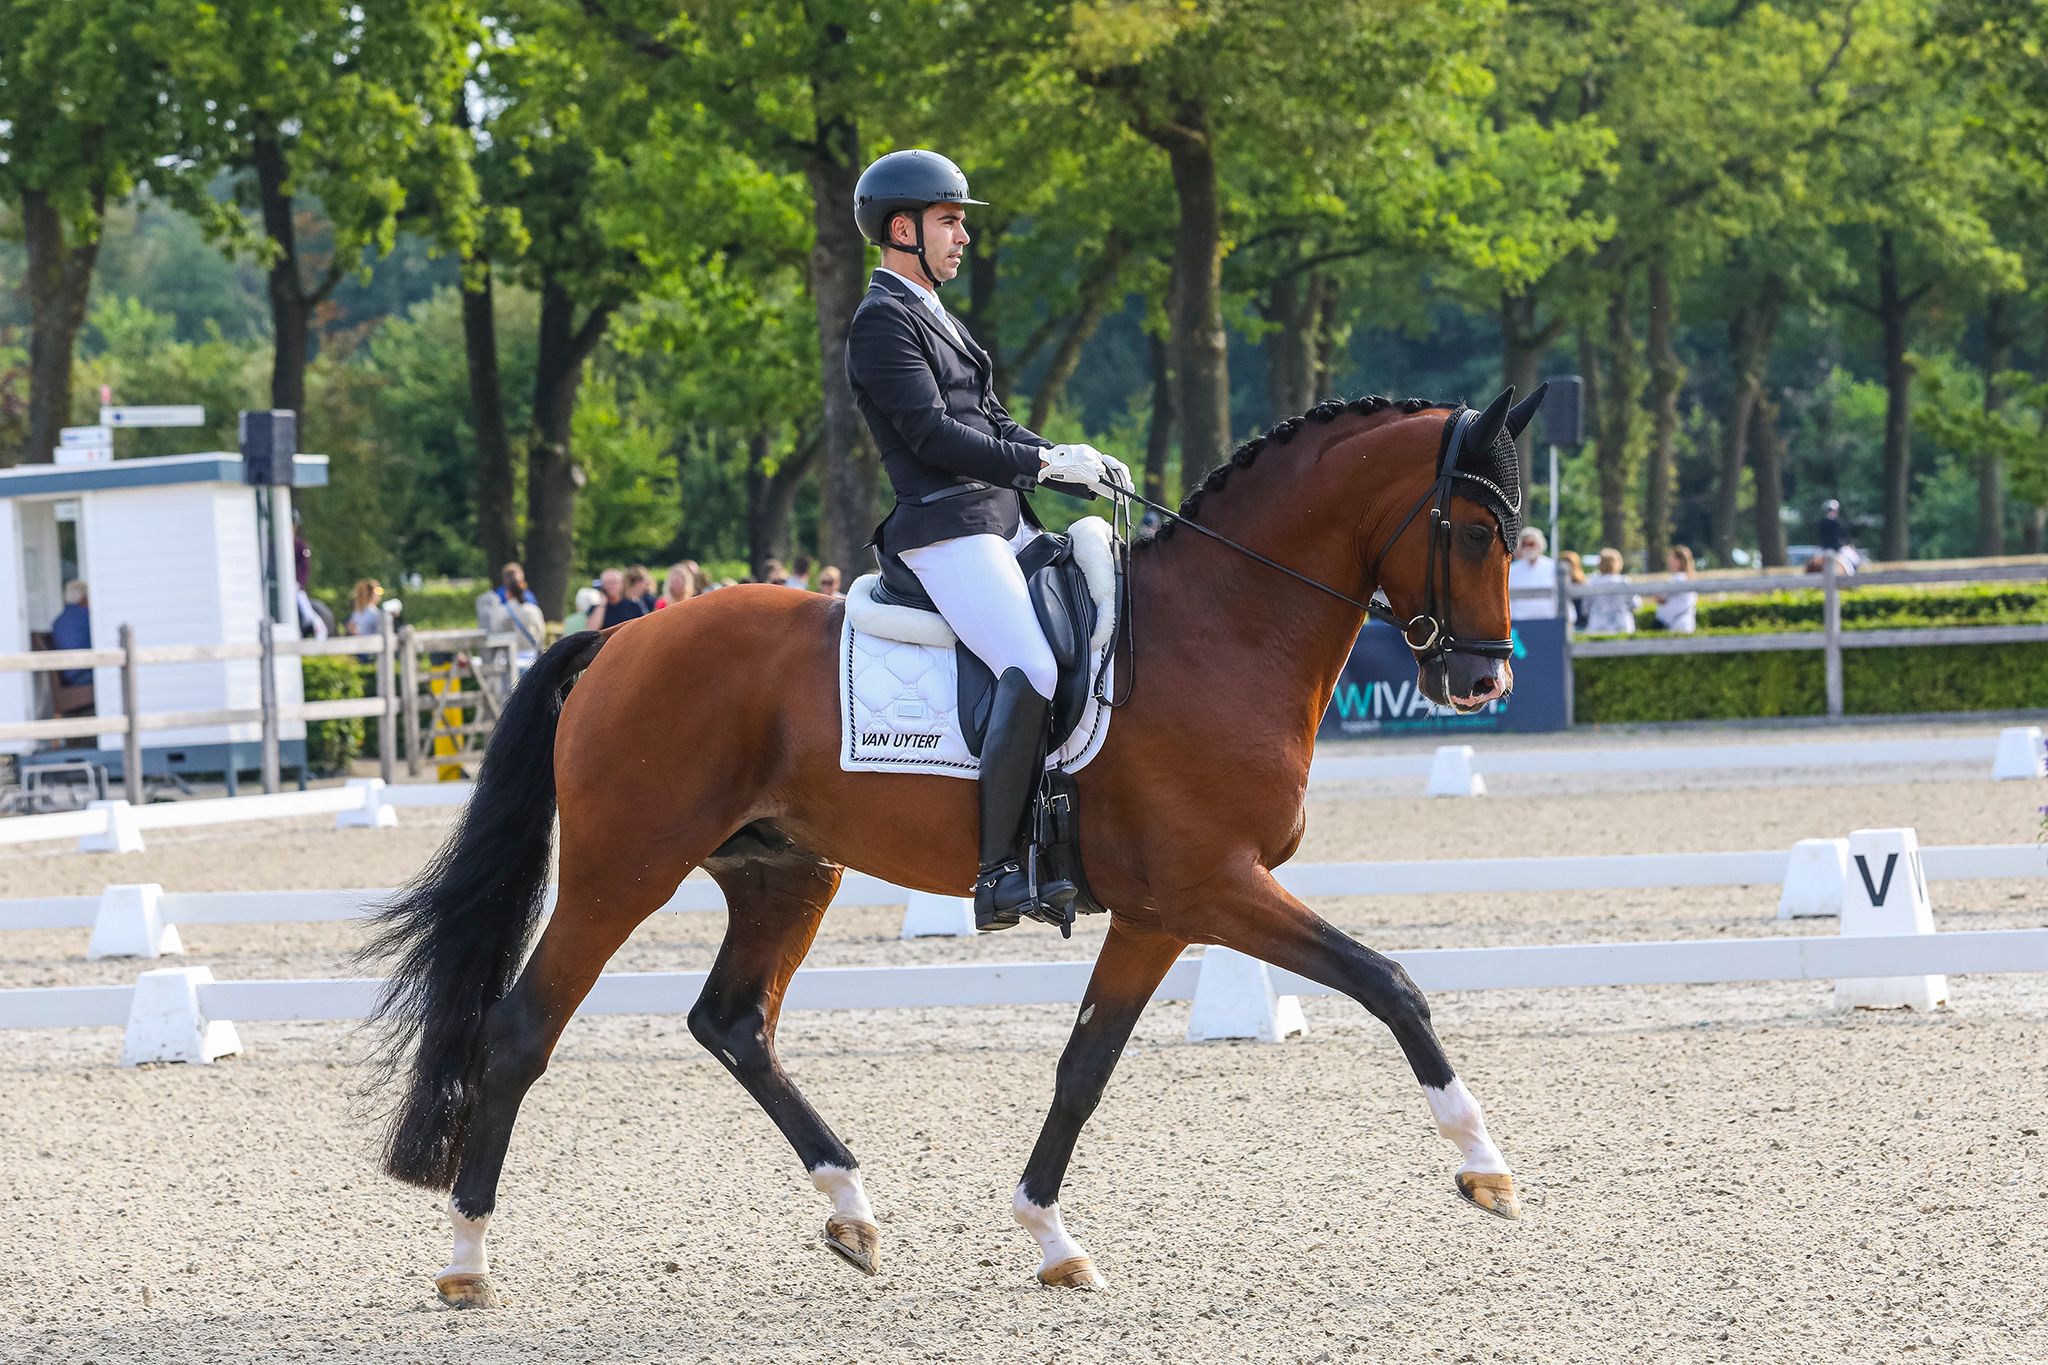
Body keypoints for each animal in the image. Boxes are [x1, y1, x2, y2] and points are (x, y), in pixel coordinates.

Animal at [364, 388, 1540, 1309]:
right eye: (1478, 532)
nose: (1482, 680)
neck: (1223, 626)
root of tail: (621, 634)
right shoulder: (1215, 887)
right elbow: (1389, 984)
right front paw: (1485, 1168)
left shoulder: (1160, 911)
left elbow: (1083, 1066)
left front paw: (1052, 1239)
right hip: (623, 872)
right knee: (520, 1030)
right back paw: (467, 1261)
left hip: (785, 871)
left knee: (733, 1023)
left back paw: (851, 1209)